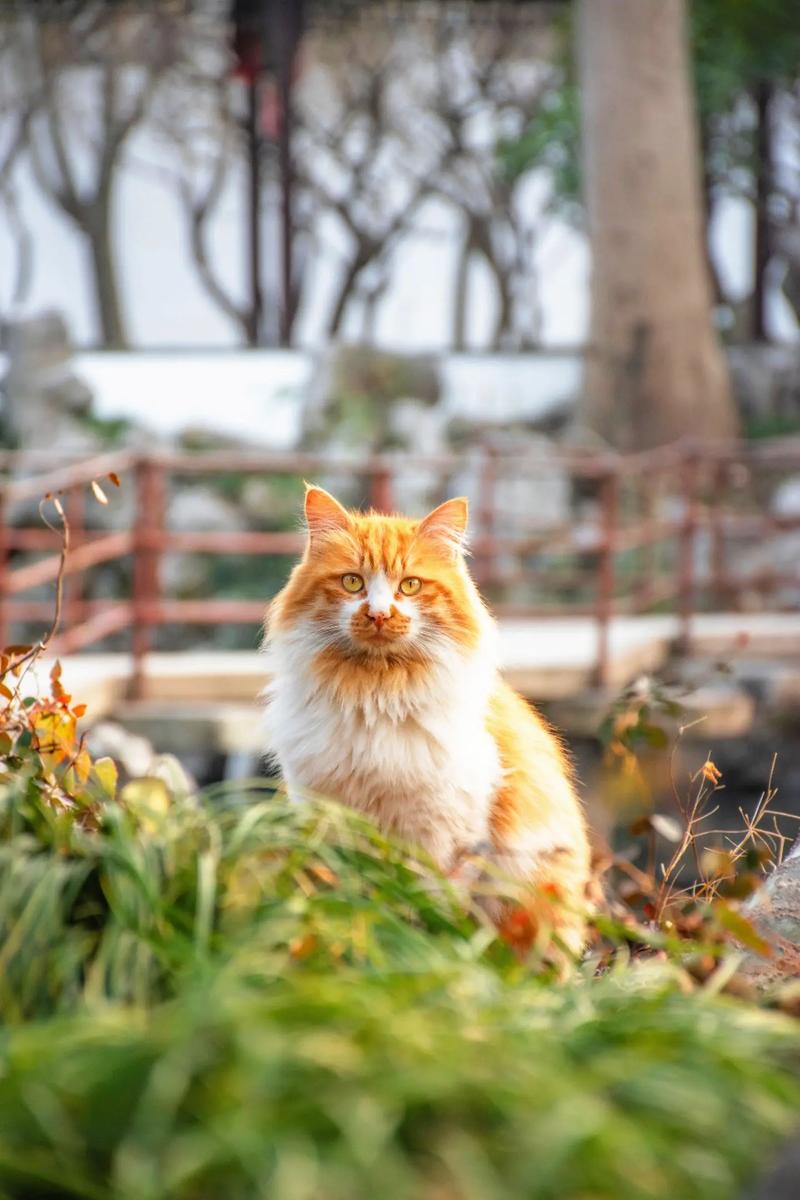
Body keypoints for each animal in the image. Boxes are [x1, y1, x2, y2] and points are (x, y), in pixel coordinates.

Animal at [266, 482, 592, 950]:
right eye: (352, 582)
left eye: (410, 586)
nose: (378, 614)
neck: (375, 698)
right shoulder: (328, 819)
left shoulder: (445, 838)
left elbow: (428, 911)